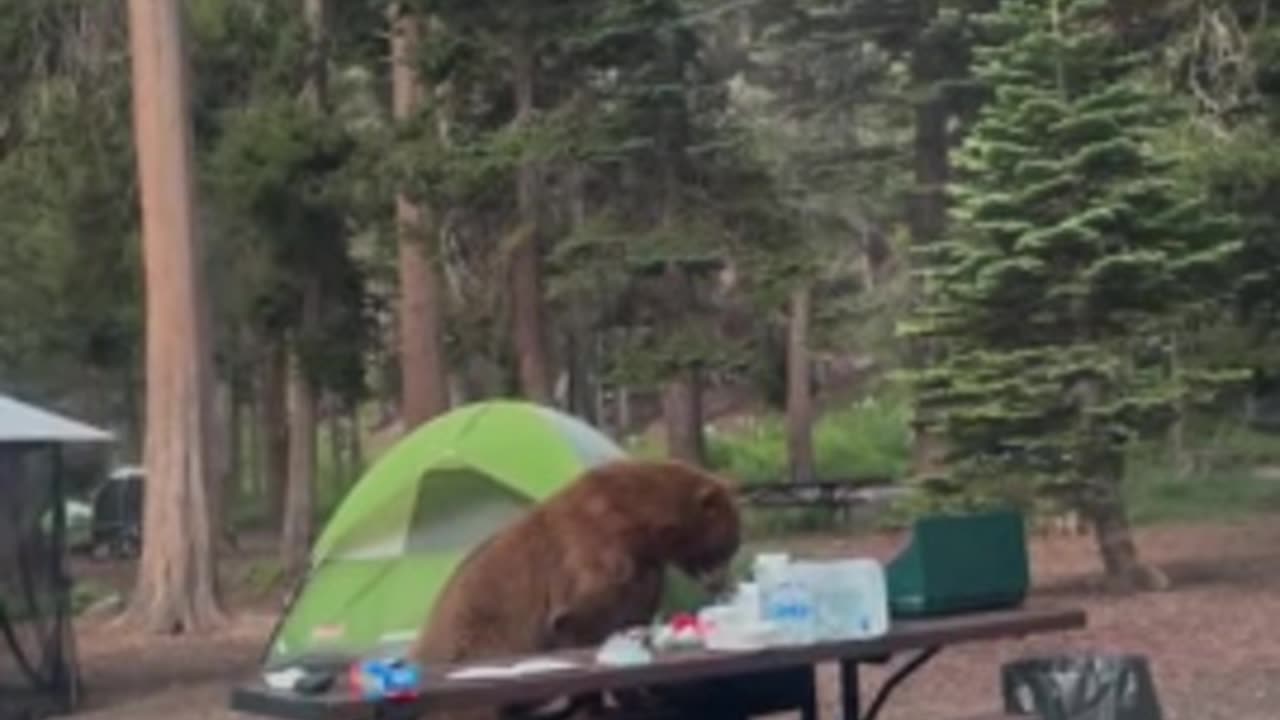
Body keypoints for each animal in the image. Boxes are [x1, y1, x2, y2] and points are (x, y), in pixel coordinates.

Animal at [409, 456, 747, 712]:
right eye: (727, 548)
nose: (721, 584)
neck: (640, 526)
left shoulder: (643, 569)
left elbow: (632, 612)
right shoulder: (593, 551)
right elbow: (582, 616)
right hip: (479, 638)